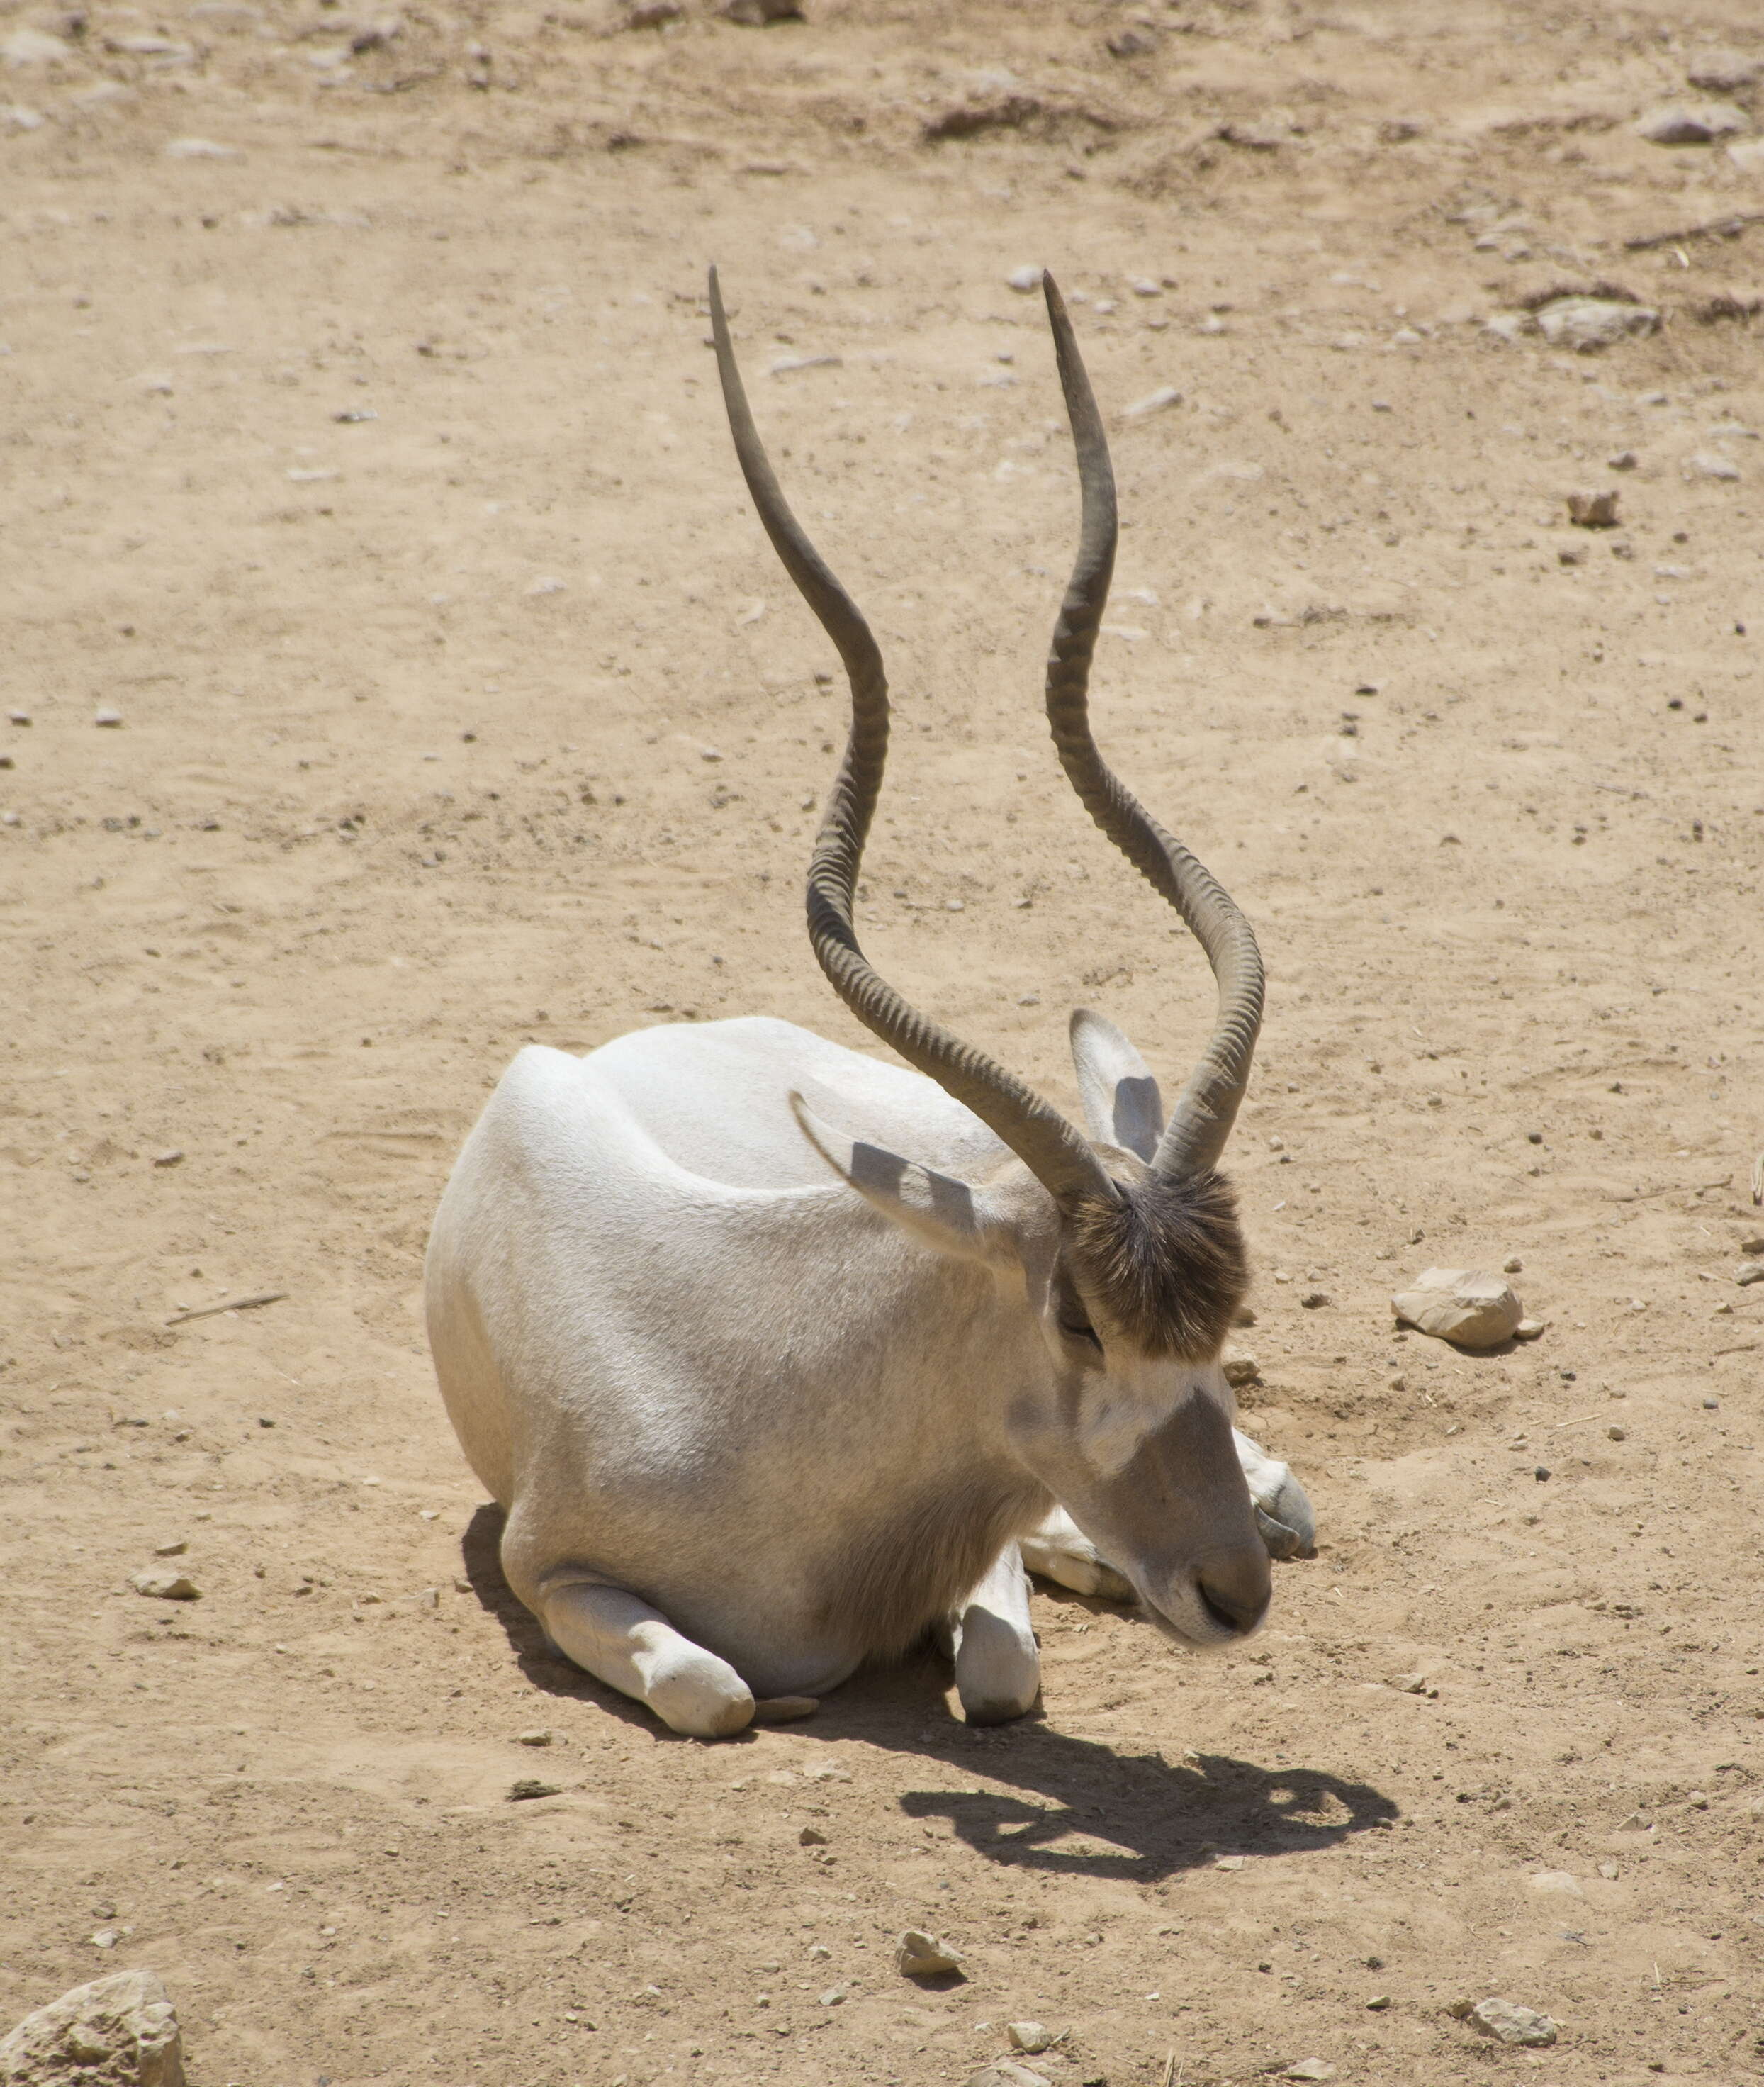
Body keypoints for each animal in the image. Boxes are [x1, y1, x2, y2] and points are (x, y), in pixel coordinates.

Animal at [423, 269, 1310, 1736]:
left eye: (1231, 1305)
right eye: (1076, 1315)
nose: (1229, 1594)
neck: (770, 1373)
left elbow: (1000, 1670)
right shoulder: (545, 1565)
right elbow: (716, 1690)